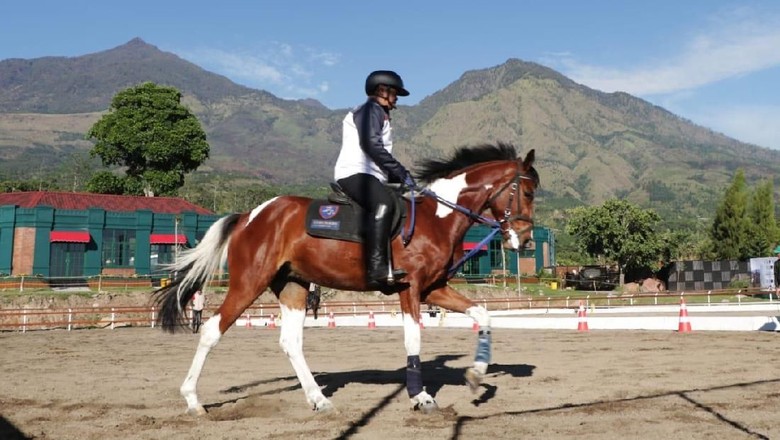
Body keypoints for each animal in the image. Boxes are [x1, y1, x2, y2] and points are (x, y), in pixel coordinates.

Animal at [155, 142, 540, 416]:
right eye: (528, 192)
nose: (524, 241)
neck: (439, 217)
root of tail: (250, 215)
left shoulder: (435, 289)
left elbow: (483, 315)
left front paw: (476, 375)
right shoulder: (411, 288)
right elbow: (413, 340)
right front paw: (421, 397)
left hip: (293, 286)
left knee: (290, 342)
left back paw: (319, 400)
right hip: (249, 283)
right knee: (211, 330)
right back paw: (193, 400)